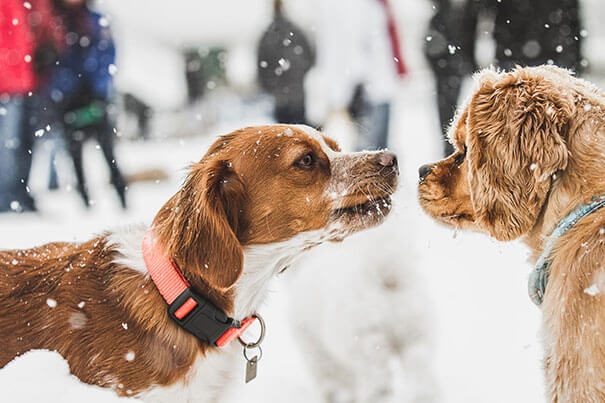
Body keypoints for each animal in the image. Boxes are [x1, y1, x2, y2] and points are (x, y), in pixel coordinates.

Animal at [286, 208, 434, 403]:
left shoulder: (318, 353)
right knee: (421, 370)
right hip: (415, 331)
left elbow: (333, 383)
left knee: (378, 379)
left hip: (366, 338)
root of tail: (386, 275)